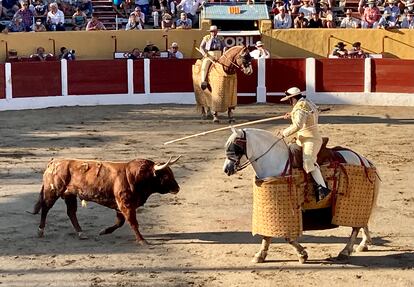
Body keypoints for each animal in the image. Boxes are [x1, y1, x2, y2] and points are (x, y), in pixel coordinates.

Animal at [31, 158, 180, 245]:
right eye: (166, 175)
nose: (177, 188)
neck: (133, 176)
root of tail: (53, 162)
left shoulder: (121, 206)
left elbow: (120, 222)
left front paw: (104, 231)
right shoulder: (126, 204)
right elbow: (132, 222)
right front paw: (142, 240)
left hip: (69, 195)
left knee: (71, 212)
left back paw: (81, 233)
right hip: (52, 191)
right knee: (46, 208)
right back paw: (40, 231)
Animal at [222, 128, 380, 266]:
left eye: (235, 146)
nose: (226, 169)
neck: (275, 161)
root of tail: (363, 160)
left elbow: (287, 236)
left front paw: (302, 254)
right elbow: (267, 235)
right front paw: (260, 255)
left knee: (355, 226)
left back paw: (345, 252)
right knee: (362, 221)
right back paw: (364, 244)